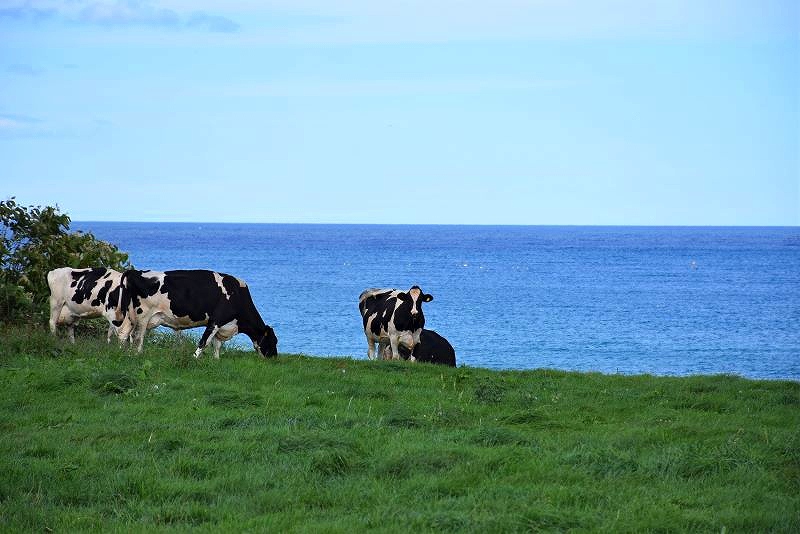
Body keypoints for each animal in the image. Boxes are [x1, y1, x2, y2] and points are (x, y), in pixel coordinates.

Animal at [122, 272, 278, 360]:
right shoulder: (216, 320)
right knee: (138, 337)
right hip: (143, 316)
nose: (275, 358)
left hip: (133, 318)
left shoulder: (221, 325)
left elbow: (216, 344)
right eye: (274, 341)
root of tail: (134, 272)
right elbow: (204, 341)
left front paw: (216, 360)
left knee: (128, 335)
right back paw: (137, 354)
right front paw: (195, 358)